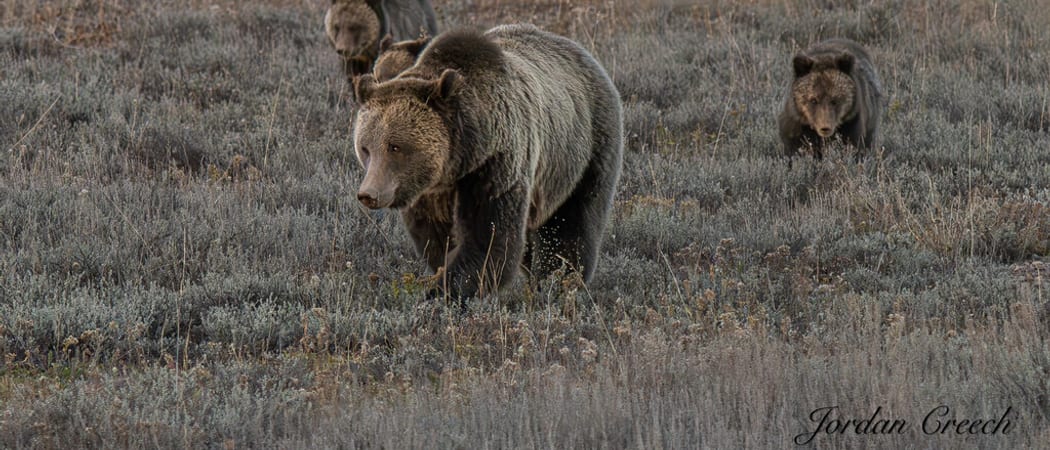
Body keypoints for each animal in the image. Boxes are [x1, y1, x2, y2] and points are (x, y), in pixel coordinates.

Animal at [351, 25, 624, 298]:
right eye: (365, 148)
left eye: (394, 146)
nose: (369, 194)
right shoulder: (428, 194)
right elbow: (436, 240)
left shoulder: (495, 168)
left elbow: (487, 239)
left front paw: (444, 291)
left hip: (582, 151)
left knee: (571, 222)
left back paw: (559, 281)